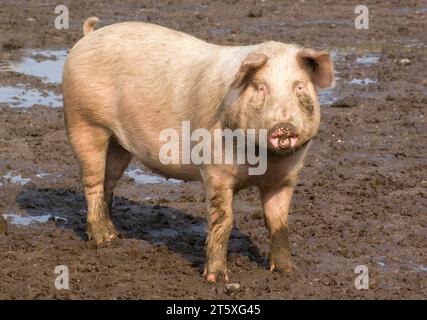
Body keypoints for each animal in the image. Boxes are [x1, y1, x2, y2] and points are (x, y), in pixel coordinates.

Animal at [61, 17, 334, 282]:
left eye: (299, 86)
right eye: (260, 87)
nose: (284, 126)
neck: (263, 160)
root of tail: (88, 36)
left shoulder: (285, 178)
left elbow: (279, 223)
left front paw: (288, 271)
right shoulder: (216, 169)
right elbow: (223, 220)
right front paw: (215, 279)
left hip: (118, 143)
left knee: (109, 181)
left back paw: (114, 234)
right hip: (84, 121)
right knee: (93, 181)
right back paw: (102, 240)